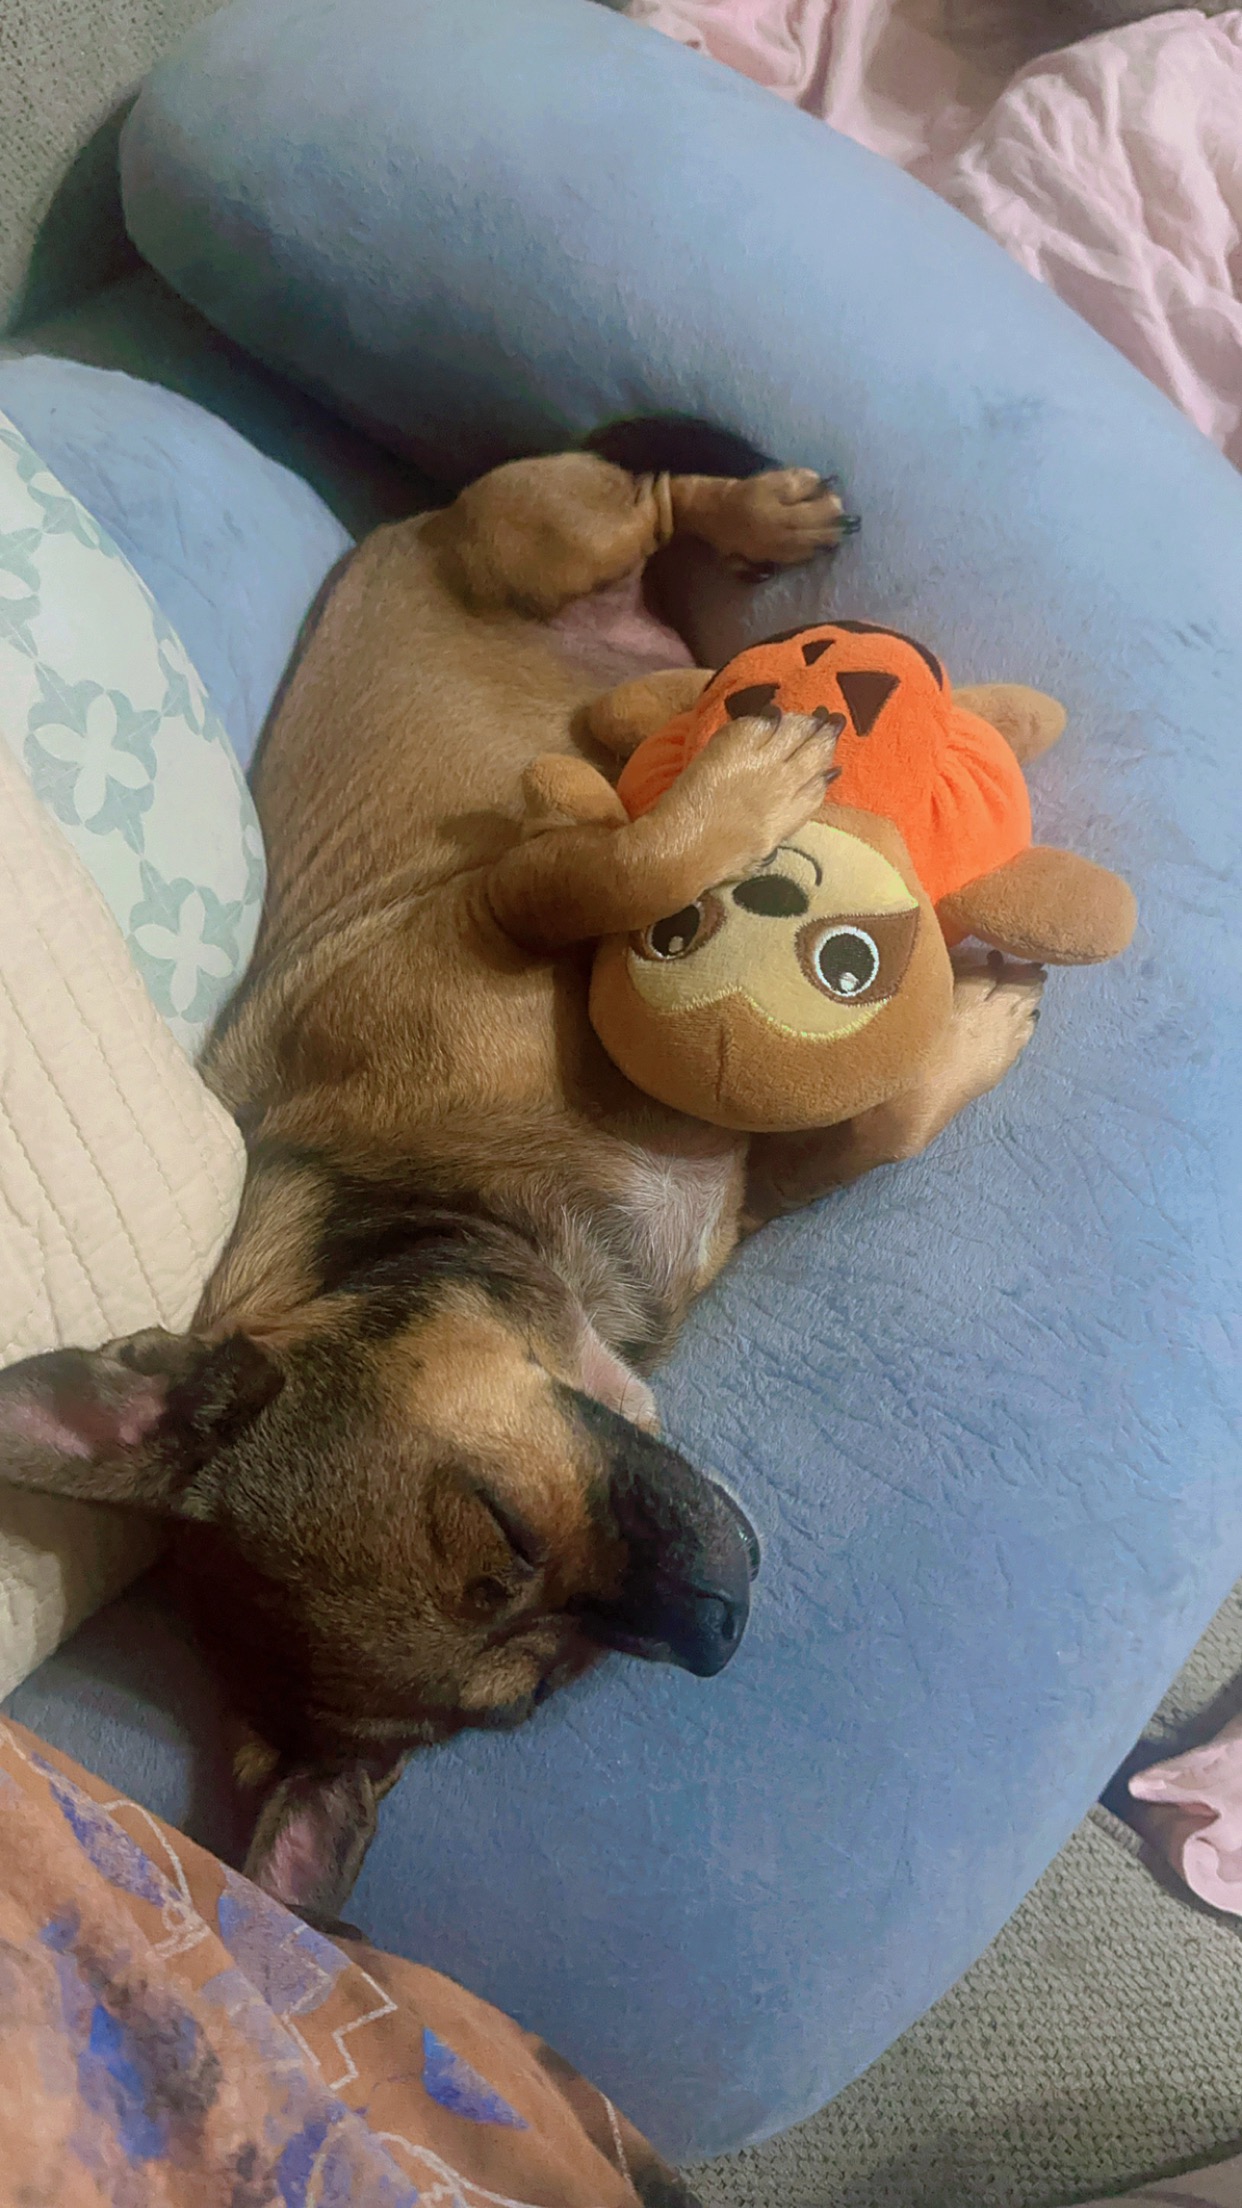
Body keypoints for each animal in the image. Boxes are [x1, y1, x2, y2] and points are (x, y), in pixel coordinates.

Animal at [0, 428, 1041, 1924]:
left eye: (497, 1521)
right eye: (535, 1692)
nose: (717, 1629)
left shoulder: (518, 900)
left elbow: (630, 868)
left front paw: (751, 807)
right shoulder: (743, 1178)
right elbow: (864, 1125)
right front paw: (968, 1029)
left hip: (535, 543)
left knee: (644, 503)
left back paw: (768, 533)